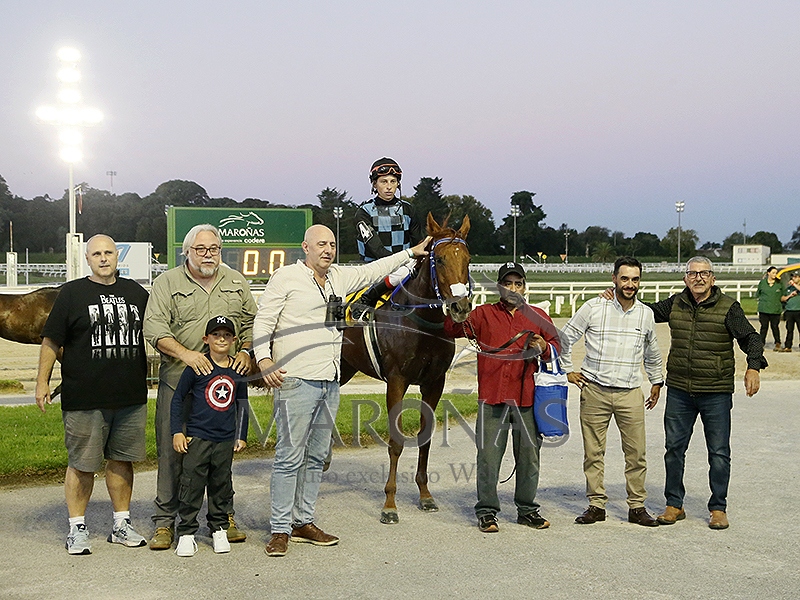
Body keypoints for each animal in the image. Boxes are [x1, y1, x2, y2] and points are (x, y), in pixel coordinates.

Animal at [340, 213, 472, 524]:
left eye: (468, 259)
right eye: (440, 259)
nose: (460, 307)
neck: (420, 323)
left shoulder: (434, 382)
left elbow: (425, 438)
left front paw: (425, 495)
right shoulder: (396, 381)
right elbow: (397, 442)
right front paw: (389, 504)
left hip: (345, 368)